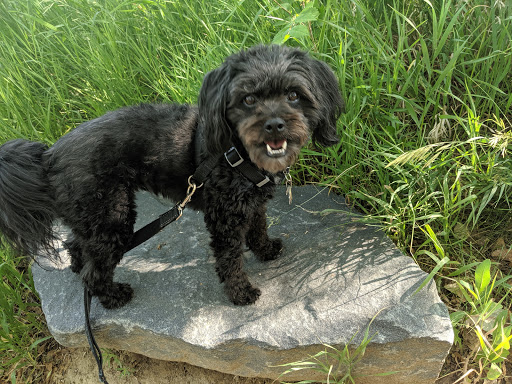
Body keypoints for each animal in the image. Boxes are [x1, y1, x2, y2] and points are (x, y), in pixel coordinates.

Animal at [1, 45, 344, 308]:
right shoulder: (224, 215)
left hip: (91, 216)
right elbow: (230, 258)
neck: (235, 151)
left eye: (293, 95)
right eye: (248, 99)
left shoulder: (252, 203)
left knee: (77, 244)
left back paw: (75, 266)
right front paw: (240, 292)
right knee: (94, 270)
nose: (274, 125)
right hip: (112, 215)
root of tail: (49, 157)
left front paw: (266, 249)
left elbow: (258, 227)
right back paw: (113, 296)